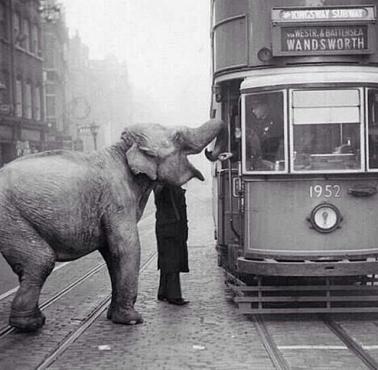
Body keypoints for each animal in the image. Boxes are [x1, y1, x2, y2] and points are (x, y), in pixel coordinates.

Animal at [0, 119, 224, 332]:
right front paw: (132, 320)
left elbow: (111, 253)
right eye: (178, 136)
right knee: (40, 261)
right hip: (10, 218)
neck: (122, 149)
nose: (212, 152)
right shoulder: (116, 200)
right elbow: (126, 248)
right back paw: (29, 324)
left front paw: (114, 317)